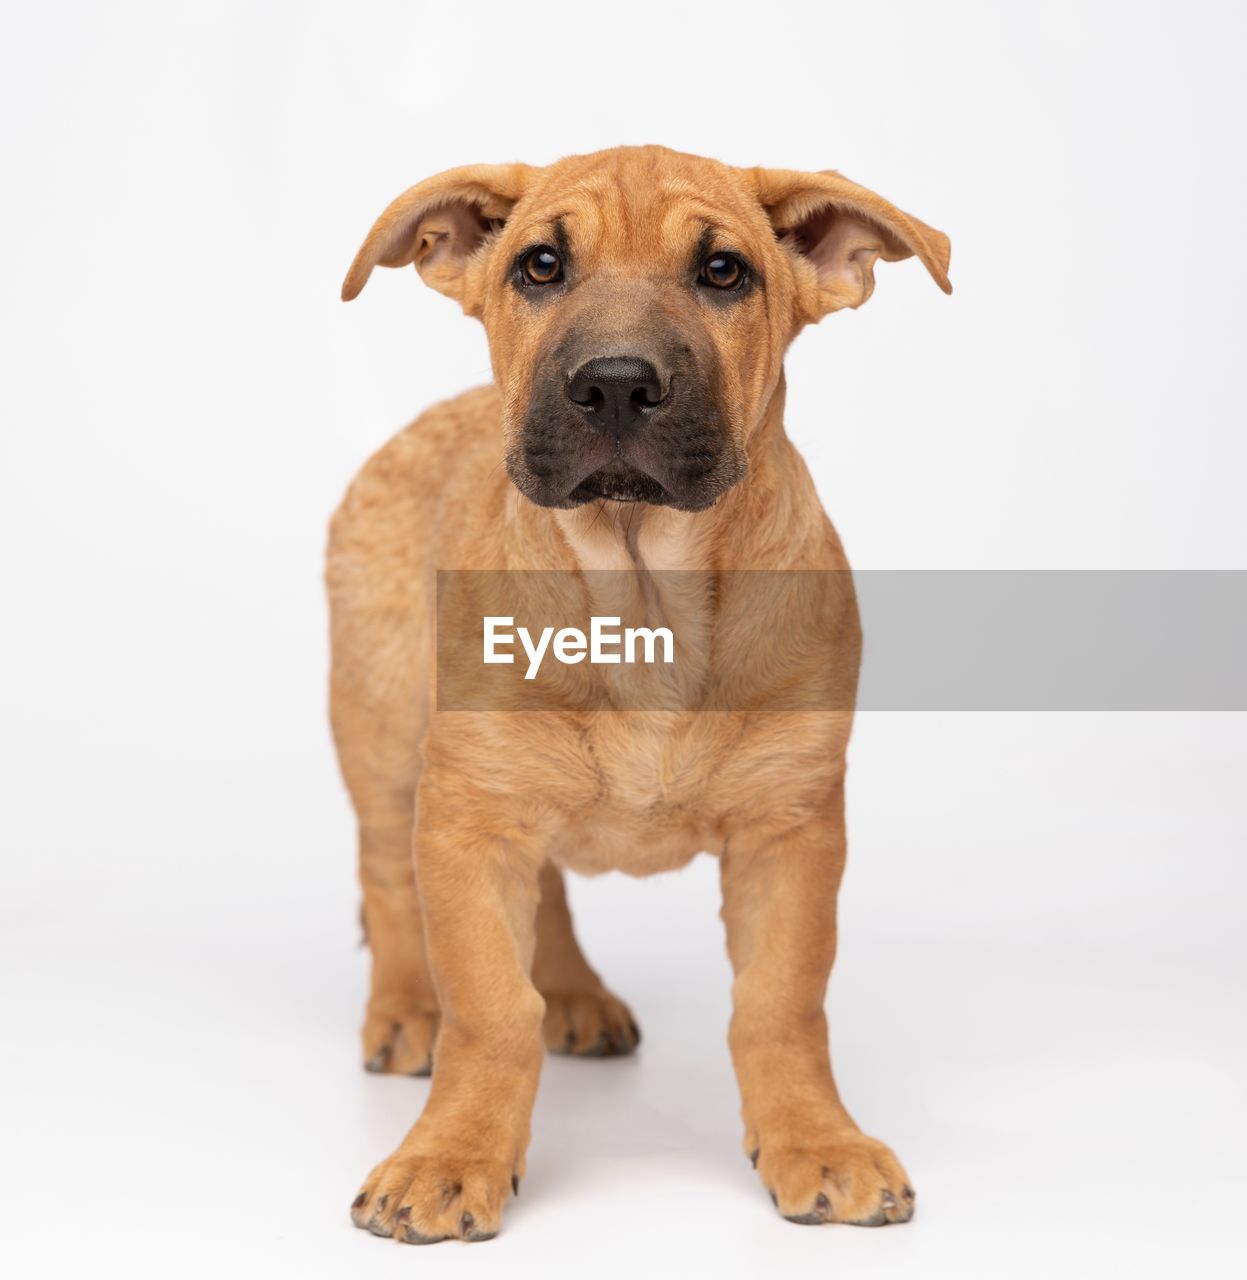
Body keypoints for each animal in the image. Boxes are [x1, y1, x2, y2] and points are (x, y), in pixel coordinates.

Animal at [326, 145, 952, 1244]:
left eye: (723, 272)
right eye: (538, 265)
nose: (614, 385)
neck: (639, 588)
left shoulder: (790, 828)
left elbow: (780, 1002)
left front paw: (815, 1139)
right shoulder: (468, 818)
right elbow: (490, 1007)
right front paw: (451, 1154)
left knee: (545, 891)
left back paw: (573, 993)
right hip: (383, 735)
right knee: (389, 876)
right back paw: (404, 1006)